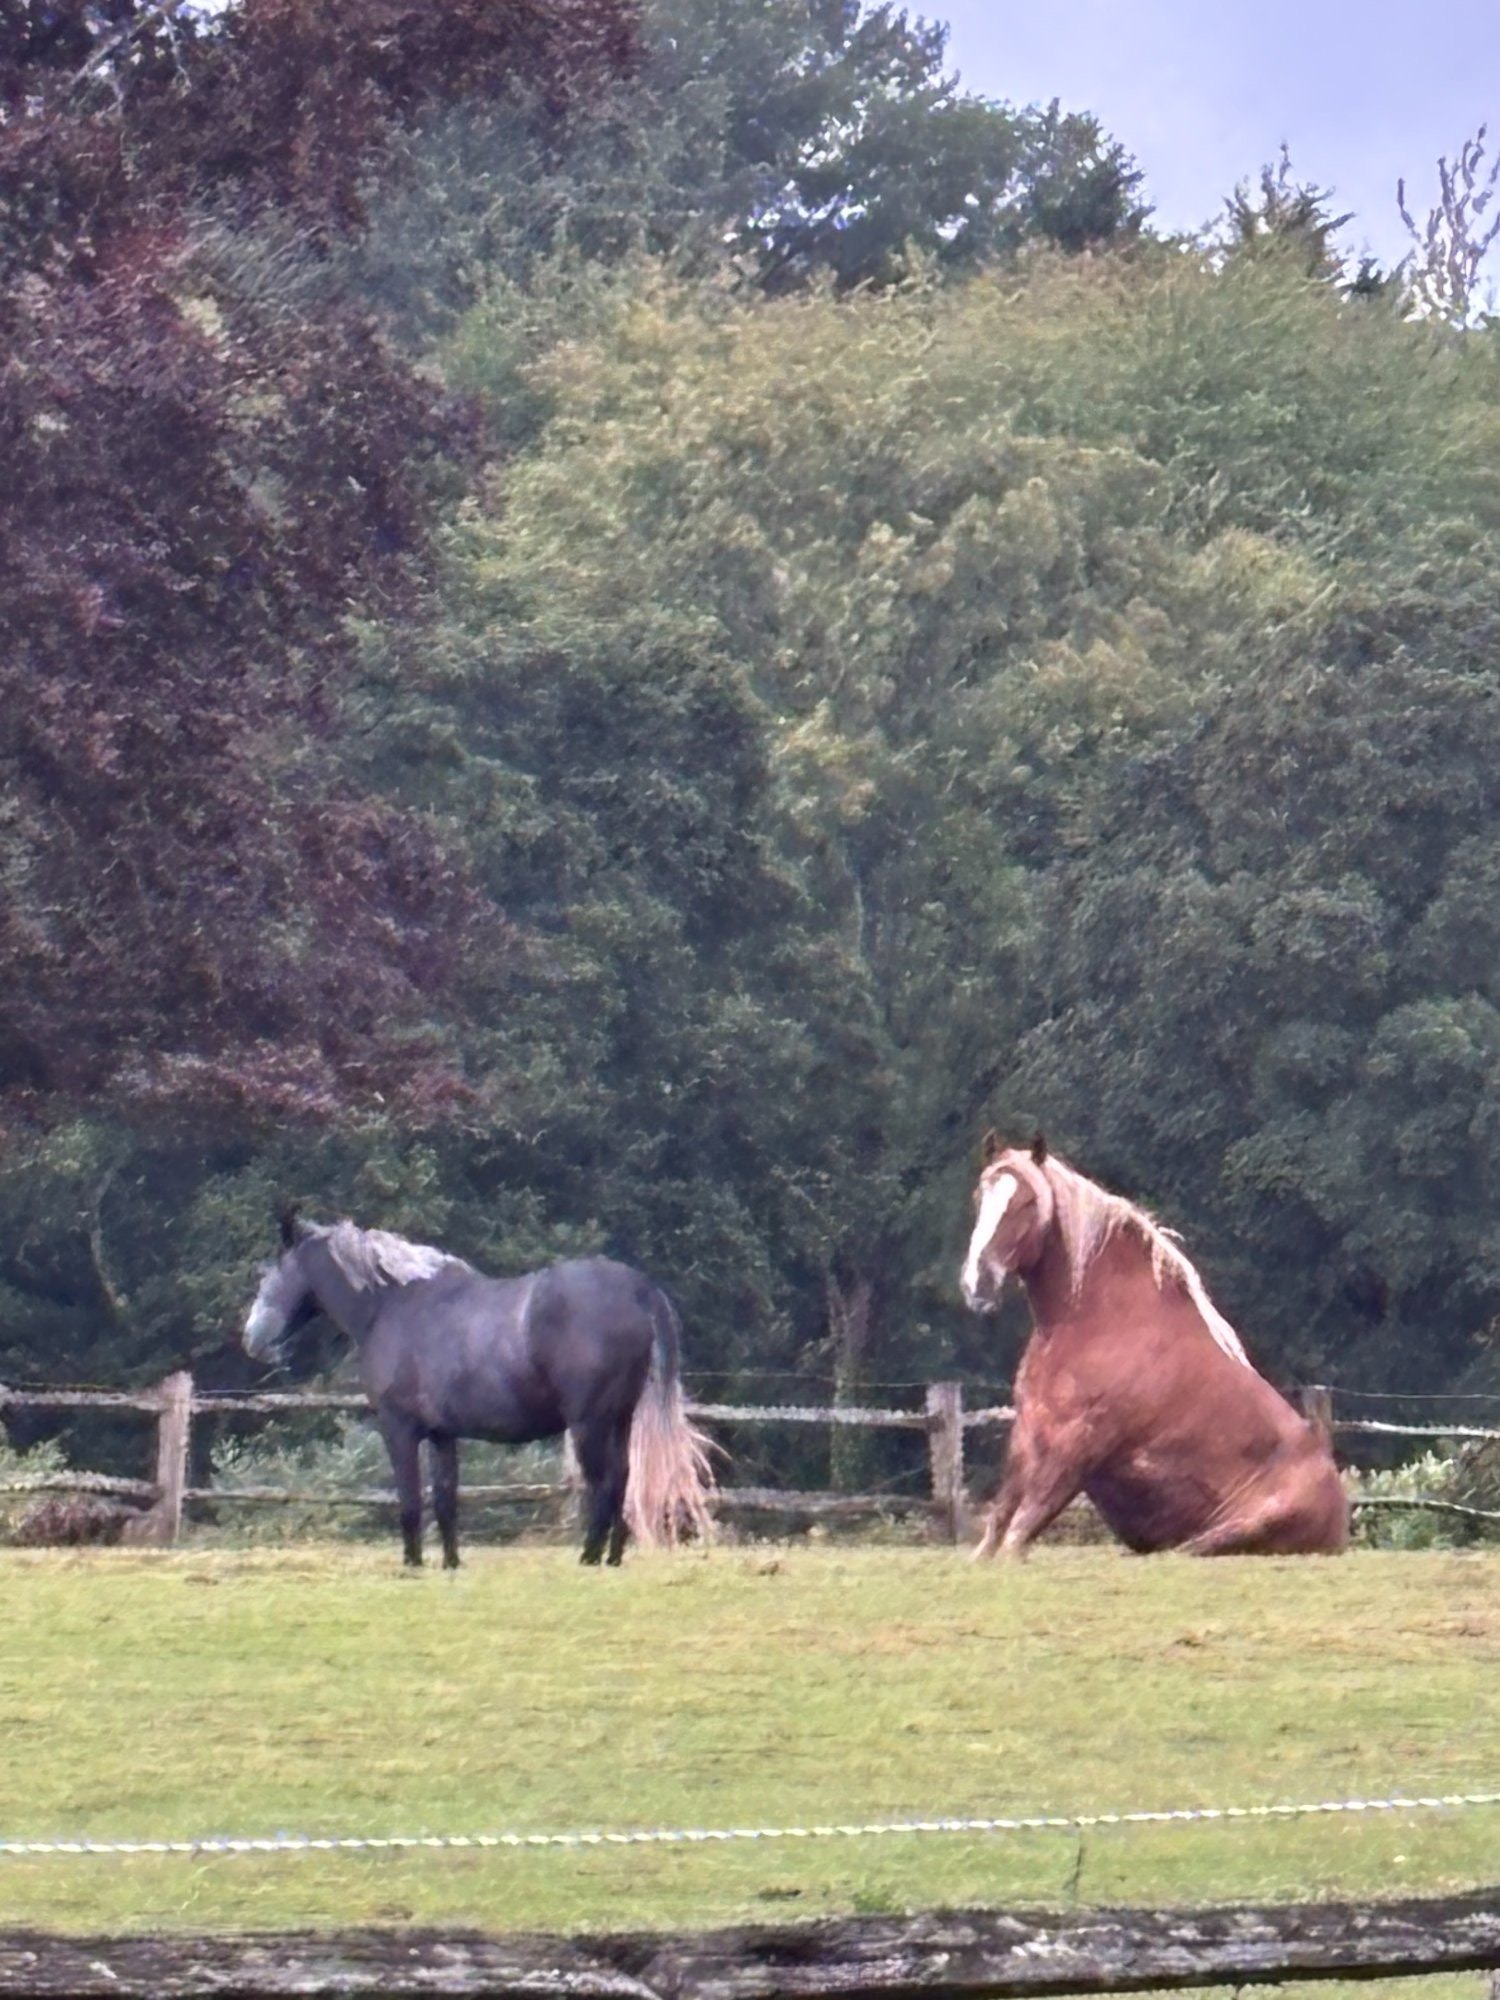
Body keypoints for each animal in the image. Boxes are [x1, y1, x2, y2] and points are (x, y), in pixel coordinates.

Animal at [241, 1212, 715, 1568]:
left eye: (271, 1274)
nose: (252, 1340)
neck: (395, 1306)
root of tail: (638, 1288)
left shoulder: (399, 1429)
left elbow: (410, 1499)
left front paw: (412, 1564)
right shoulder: (442, 1435)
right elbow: (446, 1498)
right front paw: (451, 1564)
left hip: (590, 1423)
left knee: (605, 1482)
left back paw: (589, 1556)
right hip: (619, 1418)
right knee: (622, 1480)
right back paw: (612, 1558)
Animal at [959, 1134, 1348, 1558]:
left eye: (1028, 1201)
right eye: (979, 1195)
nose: (977, 1285)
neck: (1095, 1324)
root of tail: (1340, 1522)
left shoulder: (1077, 1448)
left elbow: (1019, 1534)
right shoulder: (1028, 1434)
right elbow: (996, 1529)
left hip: (1240, 1528)